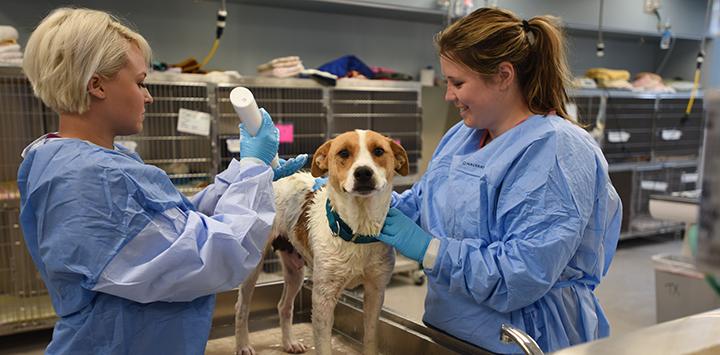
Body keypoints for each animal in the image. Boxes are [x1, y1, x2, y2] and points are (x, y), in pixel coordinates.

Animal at [233, 131, 408, 355]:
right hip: (254, 267)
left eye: (378, 151)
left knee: (284, 306)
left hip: (295, 271)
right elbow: (324, 344)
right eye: (343, 153)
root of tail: (274, 176)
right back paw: (243, 345)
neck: (357, 230)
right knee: (242, 307)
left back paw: (289, 342)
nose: (363, 173)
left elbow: (370, 338)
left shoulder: (375, 292)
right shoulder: (323, 299)